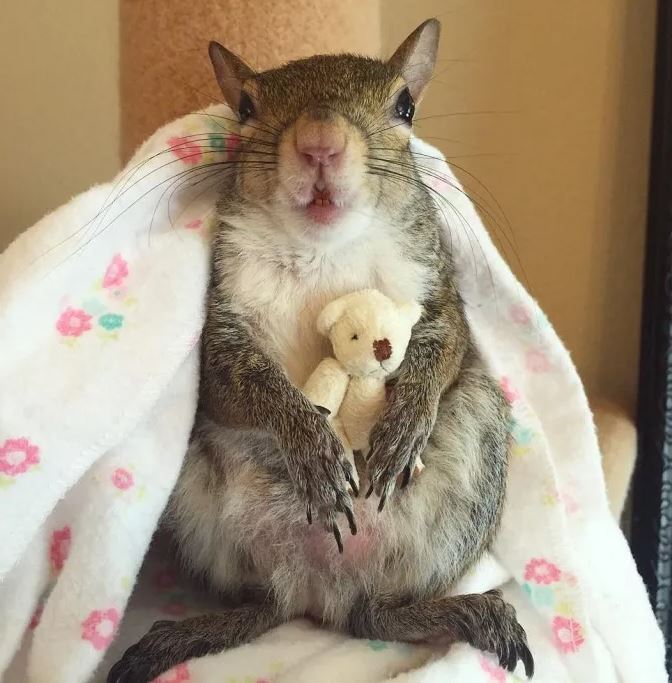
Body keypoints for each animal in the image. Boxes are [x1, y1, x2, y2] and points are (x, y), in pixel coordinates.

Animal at [107, 17, 532, 683]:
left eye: (405, 106)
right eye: (245, 107)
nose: (320, 143)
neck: (323, 248)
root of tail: (321, 589)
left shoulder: (438, 288)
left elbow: (447, 347)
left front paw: (405, 421)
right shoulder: (218, 321)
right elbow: (235, 381)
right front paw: (310, 444)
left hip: (466, 472)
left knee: (375, 618)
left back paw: (464, 612)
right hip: (204, 509)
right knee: (269, 607)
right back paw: (189, 633)